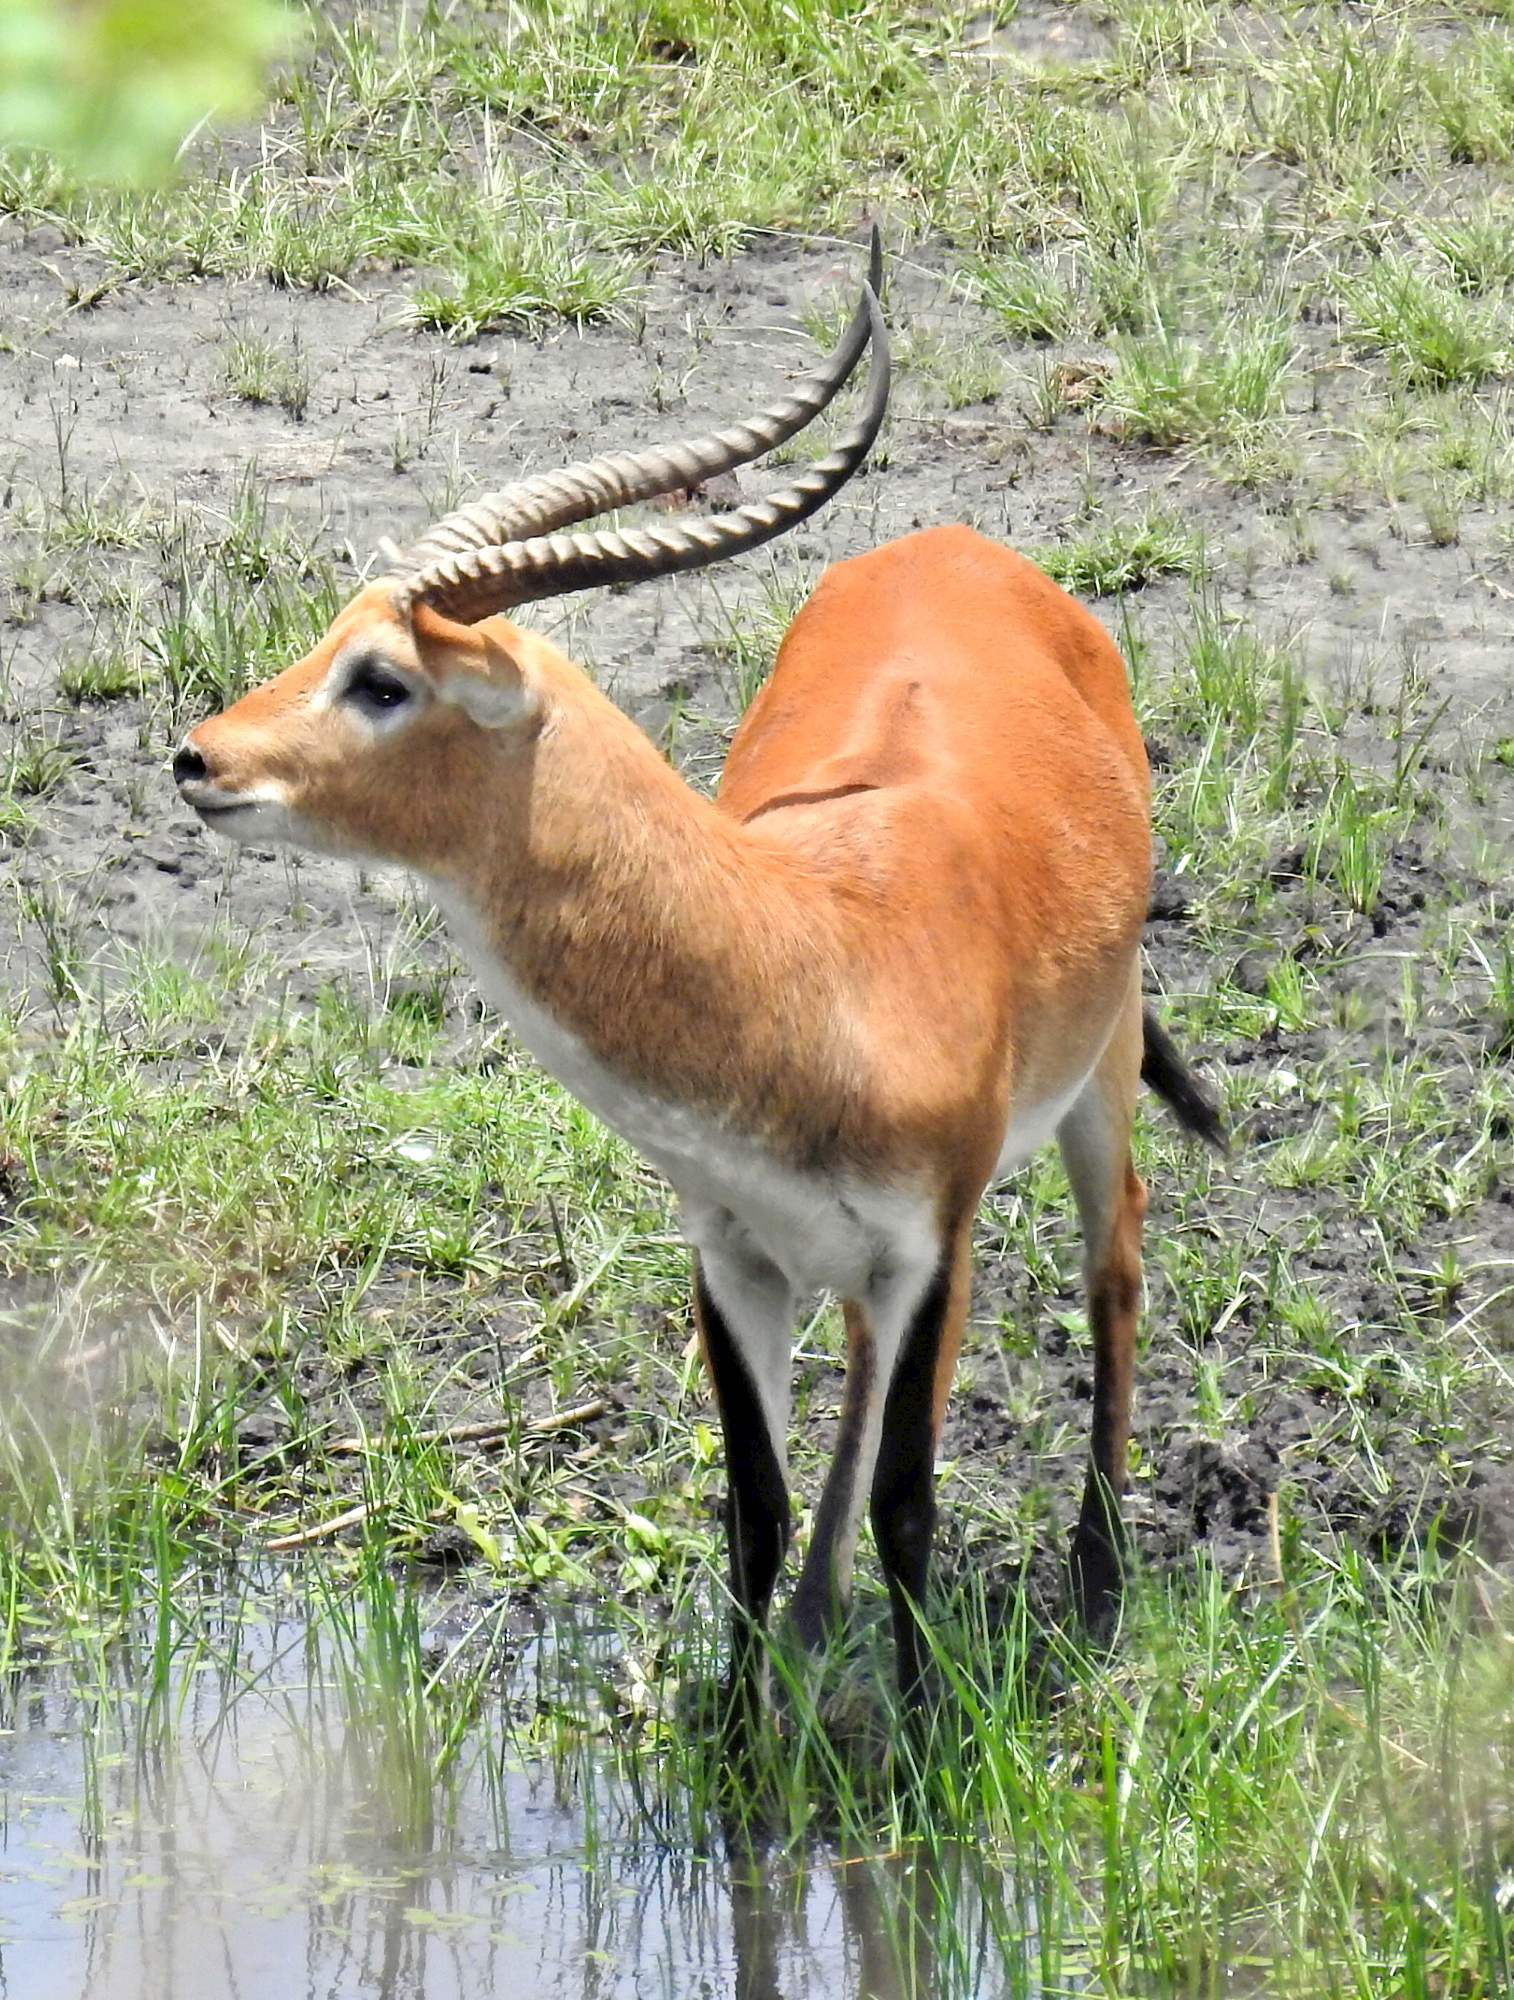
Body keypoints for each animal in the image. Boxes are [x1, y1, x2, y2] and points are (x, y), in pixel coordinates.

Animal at [174, 234, 1216, 1704]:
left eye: (381, 679)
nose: (199, 756)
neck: (814, 964)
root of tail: (954, 542)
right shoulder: (731, 1251)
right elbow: (757, 1508)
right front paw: (737, 1731)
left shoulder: (927, 1251)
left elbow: (903, 1499)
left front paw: (913, 1747)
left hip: (1102, 1056)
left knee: (1115, 1253)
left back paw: (1100, 1571)